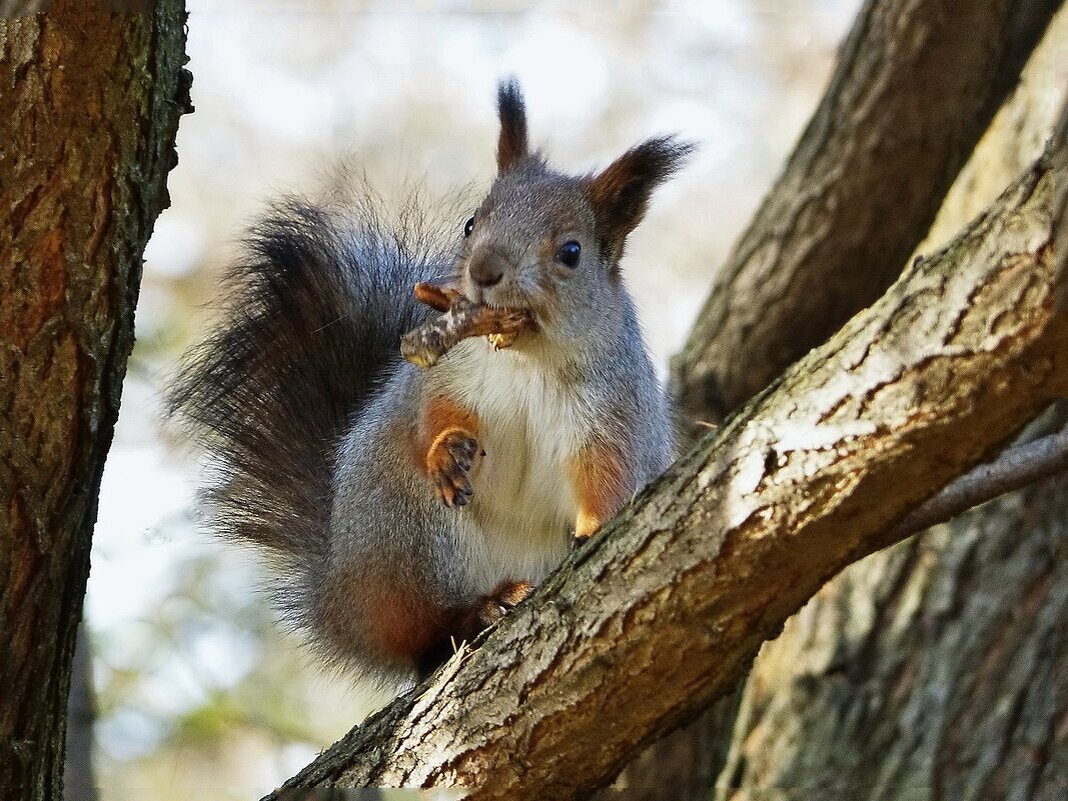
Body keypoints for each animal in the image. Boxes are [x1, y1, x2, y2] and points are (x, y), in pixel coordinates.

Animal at [168, 80, 692, 683]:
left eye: (571, 252)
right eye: (471, 223)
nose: (484, 271)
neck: (522, 356)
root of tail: (338, 601)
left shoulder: (613, 407)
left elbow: (607, 471)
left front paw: (596, 523)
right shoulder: (446, 375)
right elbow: (434, 411)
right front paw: (447, 447)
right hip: (407, 528)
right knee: (422, 630)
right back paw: (476, 610)